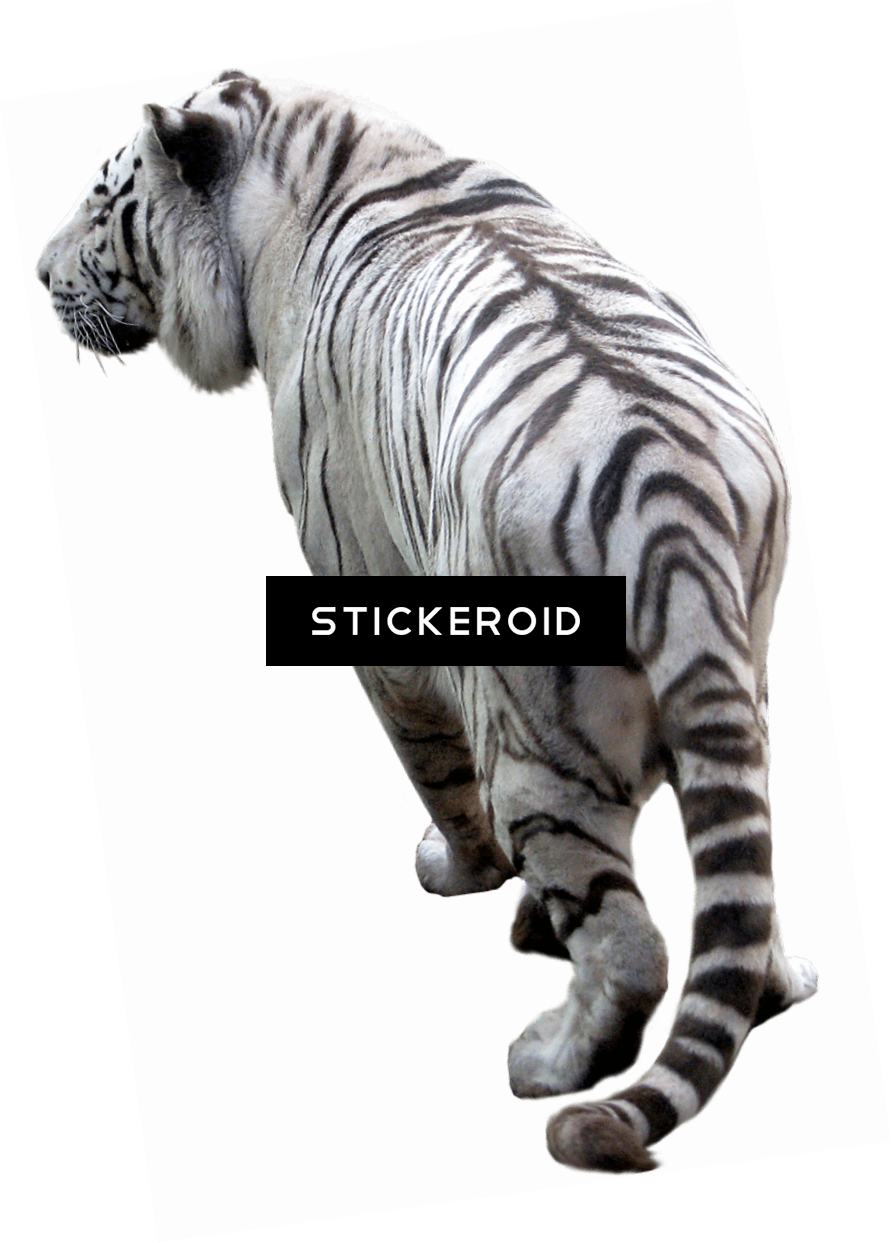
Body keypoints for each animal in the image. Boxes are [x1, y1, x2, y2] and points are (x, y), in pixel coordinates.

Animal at [35, 67, 818, 1175]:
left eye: (104, 203)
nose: (34, 273)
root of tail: (672, 499)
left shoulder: (376, 601)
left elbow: (434, 771)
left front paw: (463, 876)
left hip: (539, 743)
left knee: (630, 945)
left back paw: (548, 1063)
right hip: (744, 690)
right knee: (737, 878)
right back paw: (778, 982)